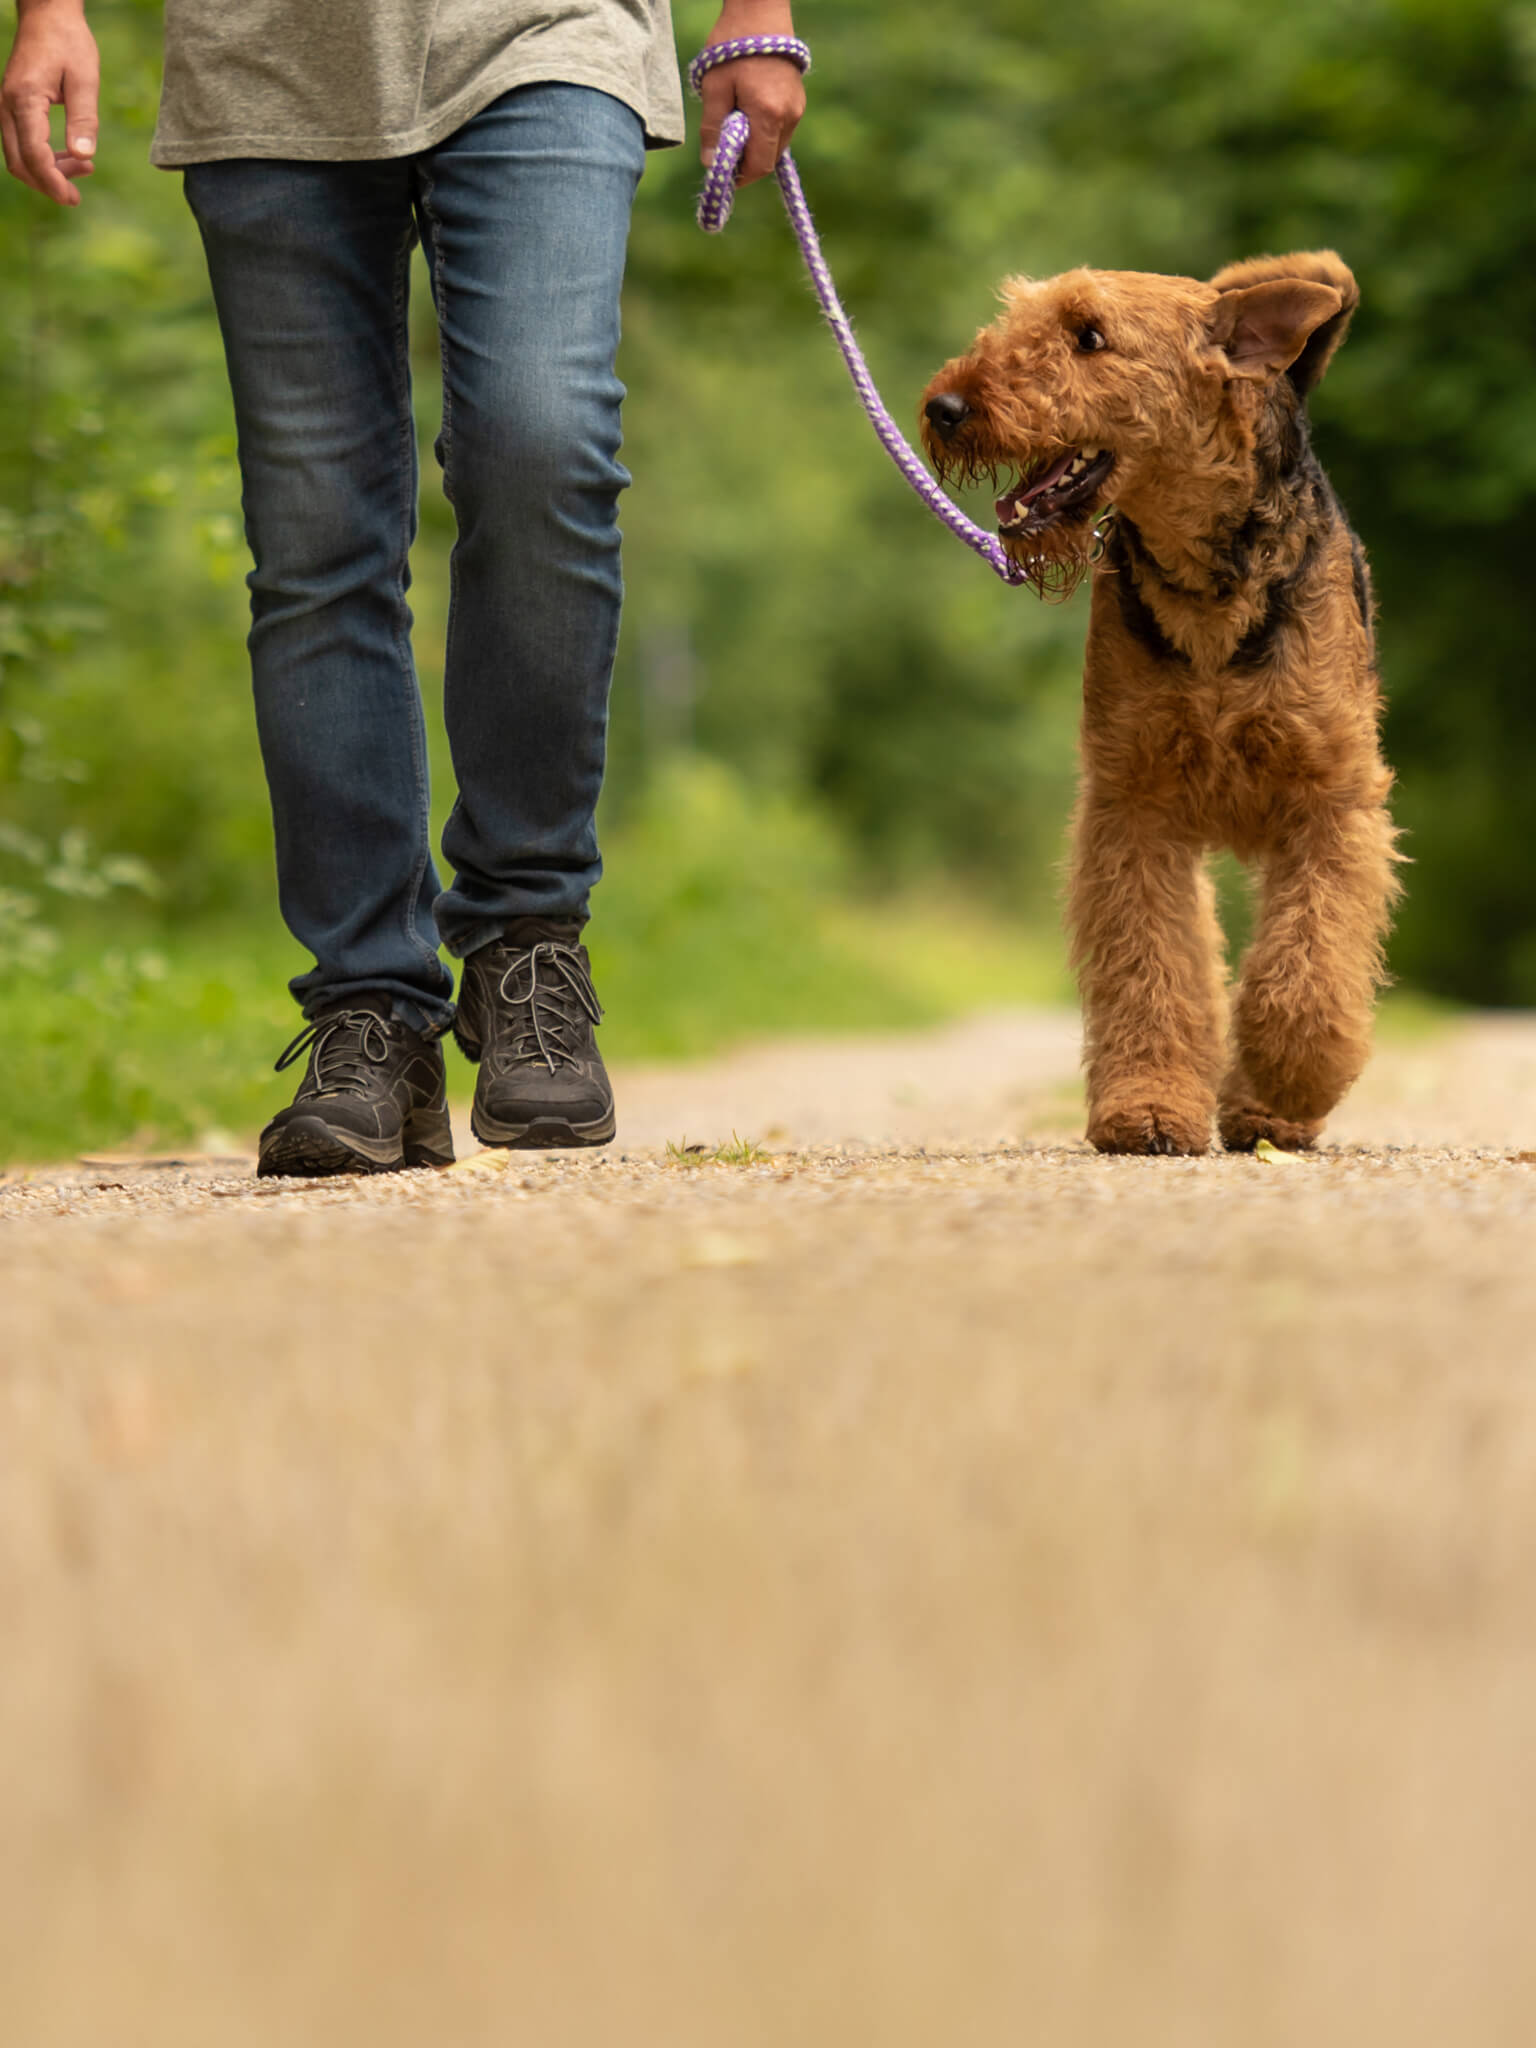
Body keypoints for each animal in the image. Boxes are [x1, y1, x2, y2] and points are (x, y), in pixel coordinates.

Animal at [921, 251, 1400, 1155]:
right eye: (1017, 318)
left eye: (1089, 336)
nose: (944, 407)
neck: (1206, 588)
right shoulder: (1133, 804)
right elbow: (1151, 969)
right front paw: (1145, 1109)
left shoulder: (1331, 800)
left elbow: (1307, 969)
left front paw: (1286, 1076)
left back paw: (1266, 1108)